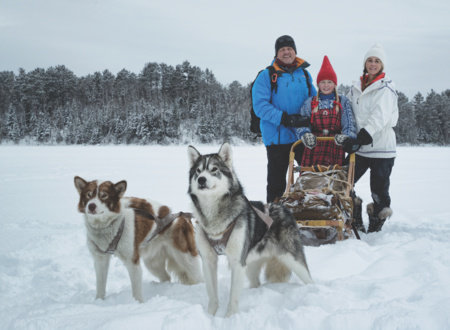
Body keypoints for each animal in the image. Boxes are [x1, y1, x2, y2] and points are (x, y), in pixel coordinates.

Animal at [73, 177, 202, 302]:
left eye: (104, 195)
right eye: (88, 195)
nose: (91, 206)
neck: (107, 226)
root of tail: (182, 217)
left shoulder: (132, 261)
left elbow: (136, 289)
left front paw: (138, 303)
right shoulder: (100, 259)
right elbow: (100, 284)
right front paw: (99, 302)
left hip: (186, 258)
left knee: (197, 277)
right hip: (152, 262)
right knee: (166, 277)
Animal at [187, 143, 312, 316]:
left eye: (214, 169)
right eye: (198, 171)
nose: (201, 180)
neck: (214, 216)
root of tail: (283, 207)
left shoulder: (237, 262)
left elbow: (233, 296)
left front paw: (229, 318)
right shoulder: (208, 260)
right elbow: (212, 294)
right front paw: (209, 315)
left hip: (292, 259)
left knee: (309, 279)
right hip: (250, 264)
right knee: (256, 282)